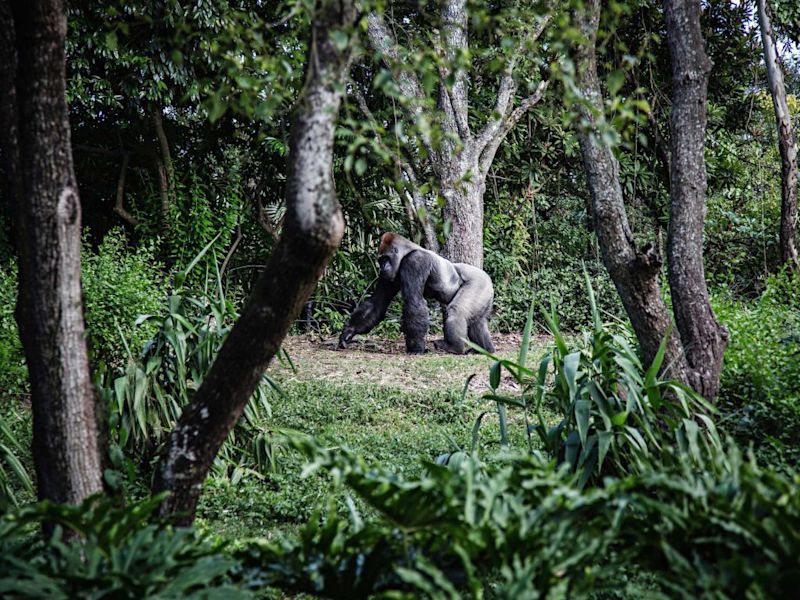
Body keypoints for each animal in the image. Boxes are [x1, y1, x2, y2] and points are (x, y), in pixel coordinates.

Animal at [338, 232, 494, 354]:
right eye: (380, 260)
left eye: (385, 259)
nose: (382, 267)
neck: (407, 251)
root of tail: (488, 279)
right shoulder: (389, 276)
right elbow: (376, 303)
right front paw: (349, 331)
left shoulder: (415, 261)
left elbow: (413, 301)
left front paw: (416, 348)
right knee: (477, 322)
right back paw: (485, 350)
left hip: (479, 282)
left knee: (457, 311)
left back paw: (454, 347)